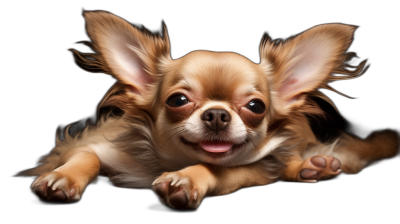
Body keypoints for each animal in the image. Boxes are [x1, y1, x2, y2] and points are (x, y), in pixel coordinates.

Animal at [19, 10, 400, 210]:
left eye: (255, 107)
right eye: (177, 100)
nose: (217, 114)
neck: (172, 160)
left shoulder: (250, 171)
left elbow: (216, 169)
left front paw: (188, 178)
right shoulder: (96, 144)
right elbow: (86, 156)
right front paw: (62, 178)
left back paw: (316, 165)